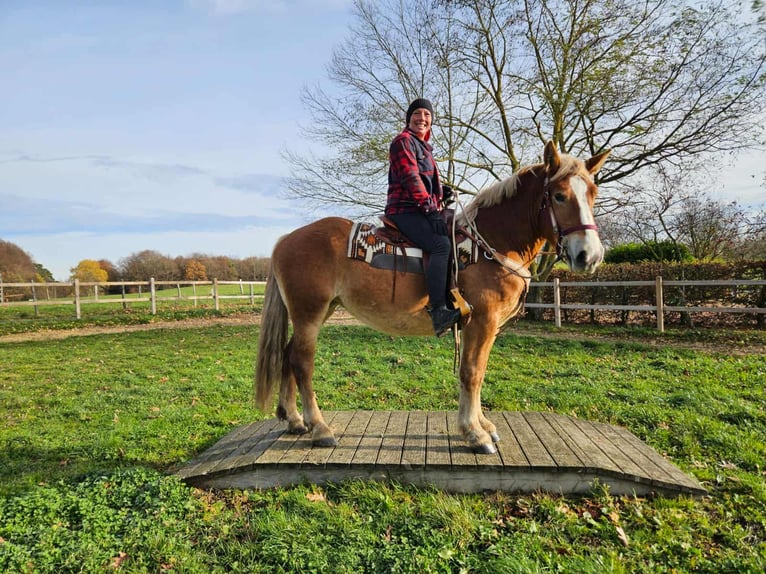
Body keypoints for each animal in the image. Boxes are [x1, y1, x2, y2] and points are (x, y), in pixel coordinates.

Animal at [255, 141, 610, 454]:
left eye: (593, 194)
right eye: (559, 196)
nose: (589, 256)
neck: (491, 242)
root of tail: (287, 239)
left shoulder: (485, 327)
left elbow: (478, 372)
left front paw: (483, 424)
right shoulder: (481, 321)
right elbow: (471, 373)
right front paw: (474, 433)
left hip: (319, 311)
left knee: (288, 355)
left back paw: (295, 420)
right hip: (309, 313)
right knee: (302, 362)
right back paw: (319, 428)